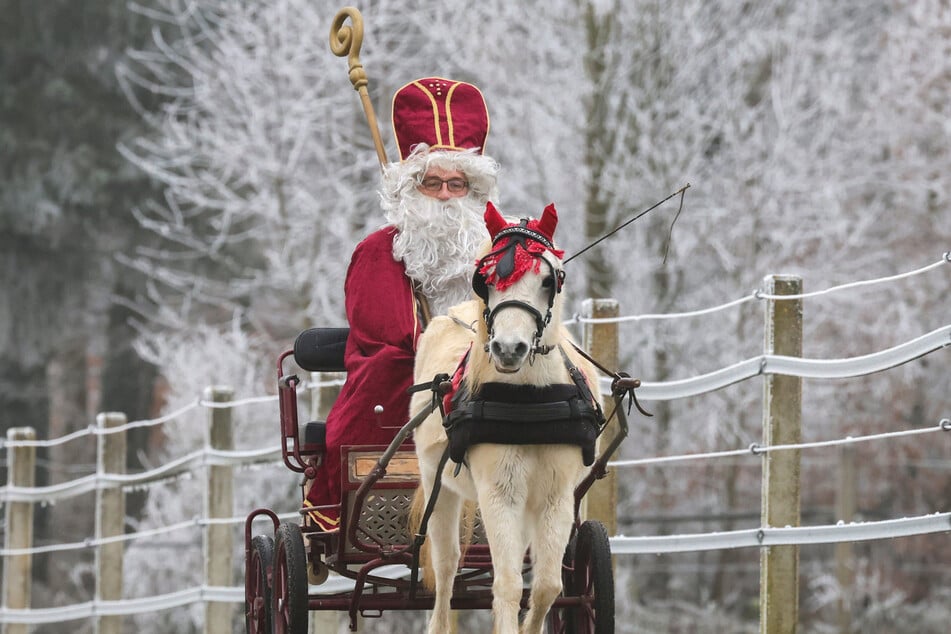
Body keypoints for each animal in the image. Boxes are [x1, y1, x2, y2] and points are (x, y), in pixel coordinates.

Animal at [410, 201, 604, 632]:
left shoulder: (556, 496)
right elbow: (508, 585)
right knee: (446, 568)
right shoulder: (501, 493)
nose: (508, 348)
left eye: (549, 280)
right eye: (485, 280)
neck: (531, 401)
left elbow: (547, 586)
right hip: (438, 484)